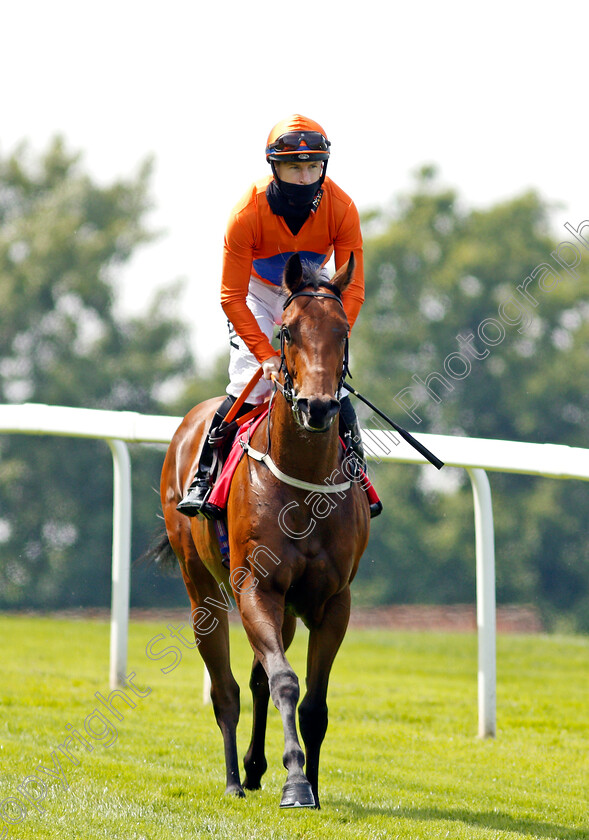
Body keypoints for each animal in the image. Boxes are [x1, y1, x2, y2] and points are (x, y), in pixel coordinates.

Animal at [156, 251, 368, 808]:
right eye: (287, 332)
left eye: (342, 330)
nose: (318, 406)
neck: (304, 484)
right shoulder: (256, 585)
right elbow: (286, 682)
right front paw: (294, 782)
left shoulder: (332, 600)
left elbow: (313, 702)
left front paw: (310, 783)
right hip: (202, 587)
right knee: (226, 688)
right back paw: (234, 778)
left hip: (288, 610)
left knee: (254, 679)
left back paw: (252, 769)